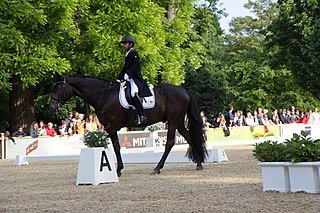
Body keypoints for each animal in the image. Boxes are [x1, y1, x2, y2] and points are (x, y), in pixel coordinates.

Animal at [48, 75, 206, 176]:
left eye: (58, 89)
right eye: (53, 88)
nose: (51, 107)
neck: (103, 95)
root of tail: (184, 91)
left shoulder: (111, 127)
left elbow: (116, 147)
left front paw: (118, 170)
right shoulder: (109, 128)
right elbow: (113, 146)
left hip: (173, 121)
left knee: (170, 143)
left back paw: (157, 168)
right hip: (178, 122)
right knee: (189, 138)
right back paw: (199, 164)